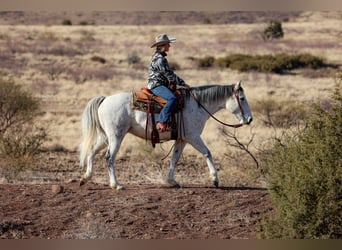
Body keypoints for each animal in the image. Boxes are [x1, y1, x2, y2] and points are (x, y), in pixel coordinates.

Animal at [79, 80, 252, 189]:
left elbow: (174, 159)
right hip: (116, 137)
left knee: (91, 152)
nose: (250, 119)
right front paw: (215, 179)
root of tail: (105, 99)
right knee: (109, 157)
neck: (197, 105)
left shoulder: (182, 139)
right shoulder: (193, 136)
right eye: (242, 98)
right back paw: (116, 185)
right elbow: (207, 153)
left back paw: (85, 177)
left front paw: (172, 181)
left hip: (105, 137)